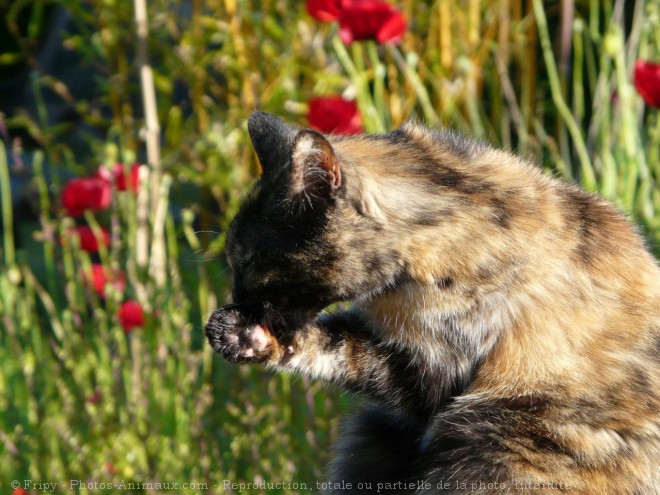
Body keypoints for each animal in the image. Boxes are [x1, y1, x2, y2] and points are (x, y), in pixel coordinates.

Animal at [206, 112, 660, 495]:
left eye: (249, 261)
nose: (237, 298)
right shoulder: (399, 359)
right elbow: (335, 346)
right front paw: (243, 336)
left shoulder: (441, 365)